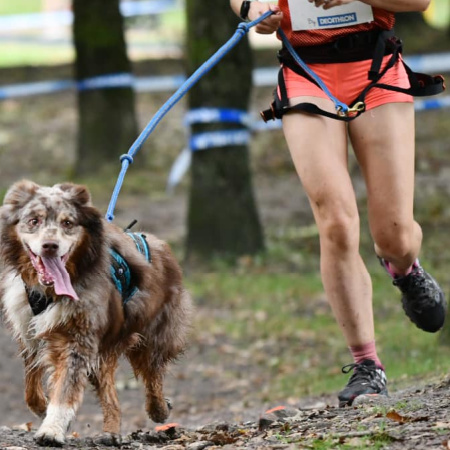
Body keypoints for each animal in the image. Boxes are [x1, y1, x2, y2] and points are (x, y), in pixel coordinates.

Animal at [0, 179, 192, 446]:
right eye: (34, 220)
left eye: (68, 223)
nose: (50, 246)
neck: (49, 291)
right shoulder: (28, 330)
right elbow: (31, 385)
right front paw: (44, 407)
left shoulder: (78, 338)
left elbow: (66, 386)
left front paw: (51, 429)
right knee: (110, 391)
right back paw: (111, 432)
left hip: (153, 335)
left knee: (153, 375)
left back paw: (159, 409)